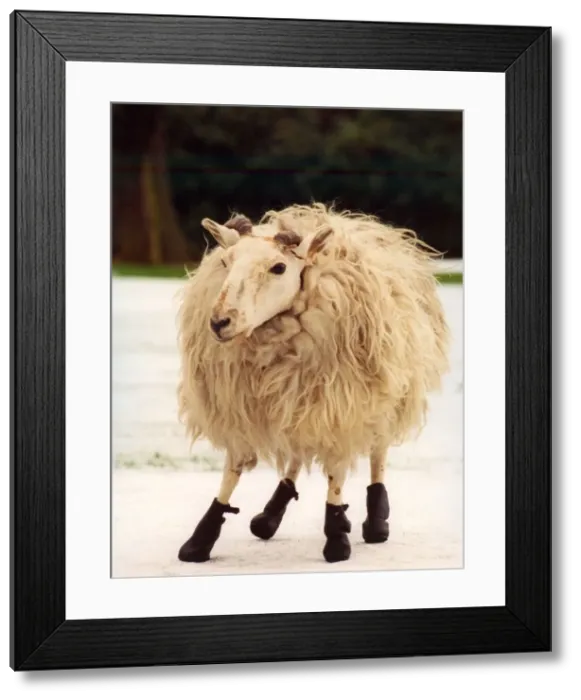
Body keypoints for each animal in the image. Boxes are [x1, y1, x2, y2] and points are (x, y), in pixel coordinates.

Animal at [175, 202, 451, 564]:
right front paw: (200, 539)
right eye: (226, 262)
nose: (220, 322)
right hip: (301, 401)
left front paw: (336, 537)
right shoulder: (241, 407)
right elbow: (232, 470)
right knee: (296, 451)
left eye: (279, 267)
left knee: (378, 451)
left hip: (386, 391)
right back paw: (271, 514)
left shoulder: (343, 404)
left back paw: (376, 520)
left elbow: (336, 472)